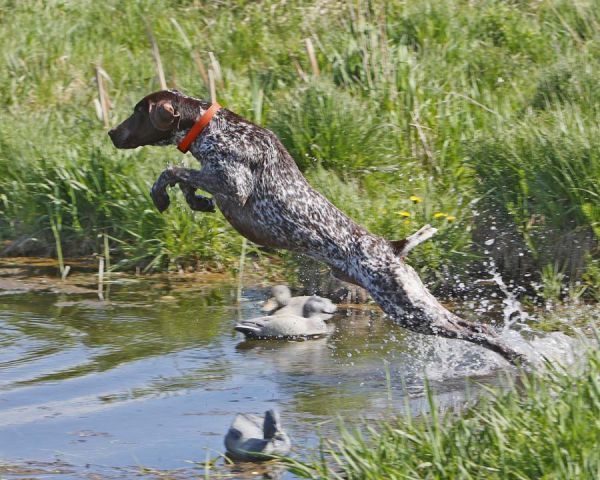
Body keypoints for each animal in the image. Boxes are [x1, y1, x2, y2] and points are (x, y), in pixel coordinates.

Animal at [109, 90, 524, 364]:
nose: (112, 134)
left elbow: (172, 170)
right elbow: (184, 179)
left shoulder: (233, 184)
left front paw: (163, 194)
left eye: (137, 112)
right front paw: (194, 200)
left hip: (408, 309)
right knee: (471, 325)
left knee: (478, 331)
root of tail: (394, 246)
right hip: (416, 301)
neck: (212, 128)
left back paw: (521, 360)